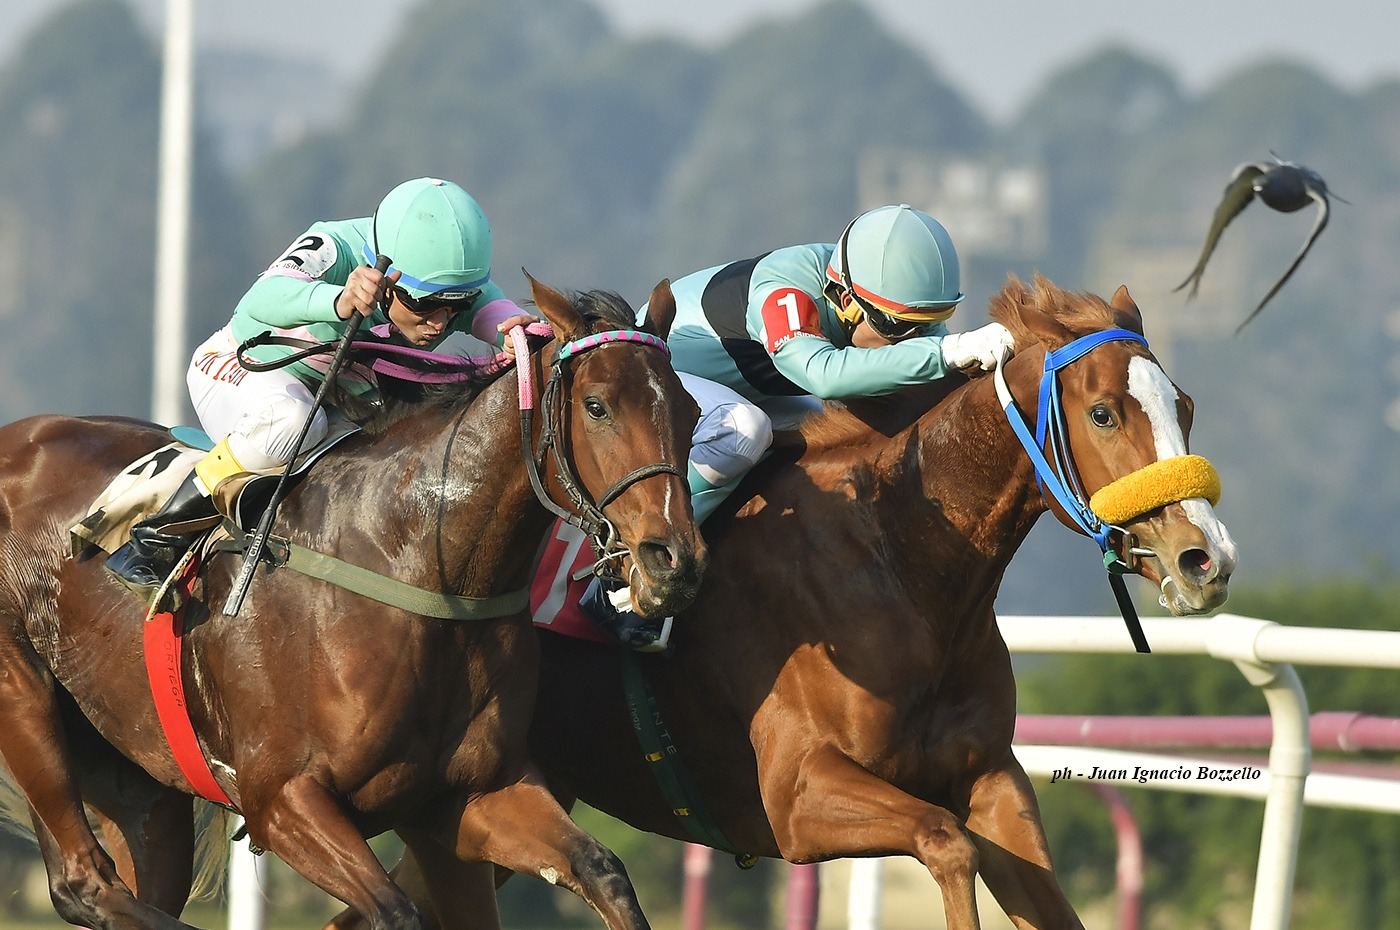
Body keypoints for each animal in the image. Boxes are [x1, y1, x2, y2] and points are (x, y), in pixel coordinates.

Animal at [0, 275, 708, 930]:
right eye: (596, 406)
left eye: (692, 411)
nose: (674, 561)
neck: (422, 564)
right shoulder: (282, 799)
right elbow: (395, 911)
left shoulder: (472, 796)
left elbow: (603, 869)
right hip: (26, 697)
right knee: (85, 886)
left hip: (139, 785)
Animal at [338, 274, 1239, 930]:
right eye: (1104, 412)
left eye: (1187, 407)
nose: (1207, 559)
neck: (903, 562)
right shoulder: (799, 796)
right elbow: (948, 846)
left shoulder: (992, 778)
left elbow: (1036, 891)